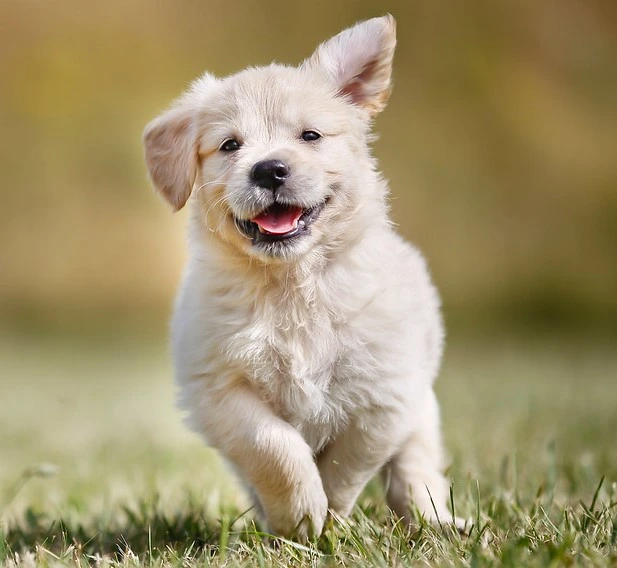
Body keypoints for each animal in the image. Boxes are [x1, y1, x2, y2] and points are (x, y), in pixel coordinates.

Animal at [143, 15, 458, 540]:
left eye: (310, 136)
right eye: (230, 145)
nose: (269, 169)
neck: (290, 283)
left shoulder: (384, 395)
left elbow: (347, 465)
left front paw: (328, 519)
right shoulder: (219, 388)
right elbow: (274, 448)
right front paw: (300, 518)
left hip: (422, 409)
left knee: (416, 468)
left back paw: (438, 521)